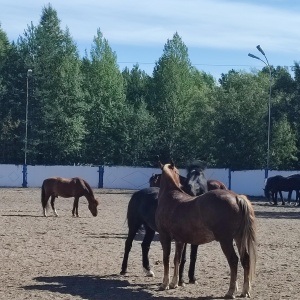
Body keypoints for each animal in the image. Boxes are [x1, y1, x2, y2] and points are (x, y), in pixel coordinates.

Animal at [156, 163, 256, 298]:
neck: (170, 196)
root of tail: (236, 197)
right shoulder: (179, 240)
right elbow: (177, 259)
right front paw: (174, 283)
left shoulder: (164, 236)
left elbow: (166, 259)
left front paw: (164, 284)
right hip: (238, 238)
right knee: (245, 259)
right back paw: (245, 291)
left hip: (226, 240)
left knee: (233, 260)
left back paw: (231, 291)